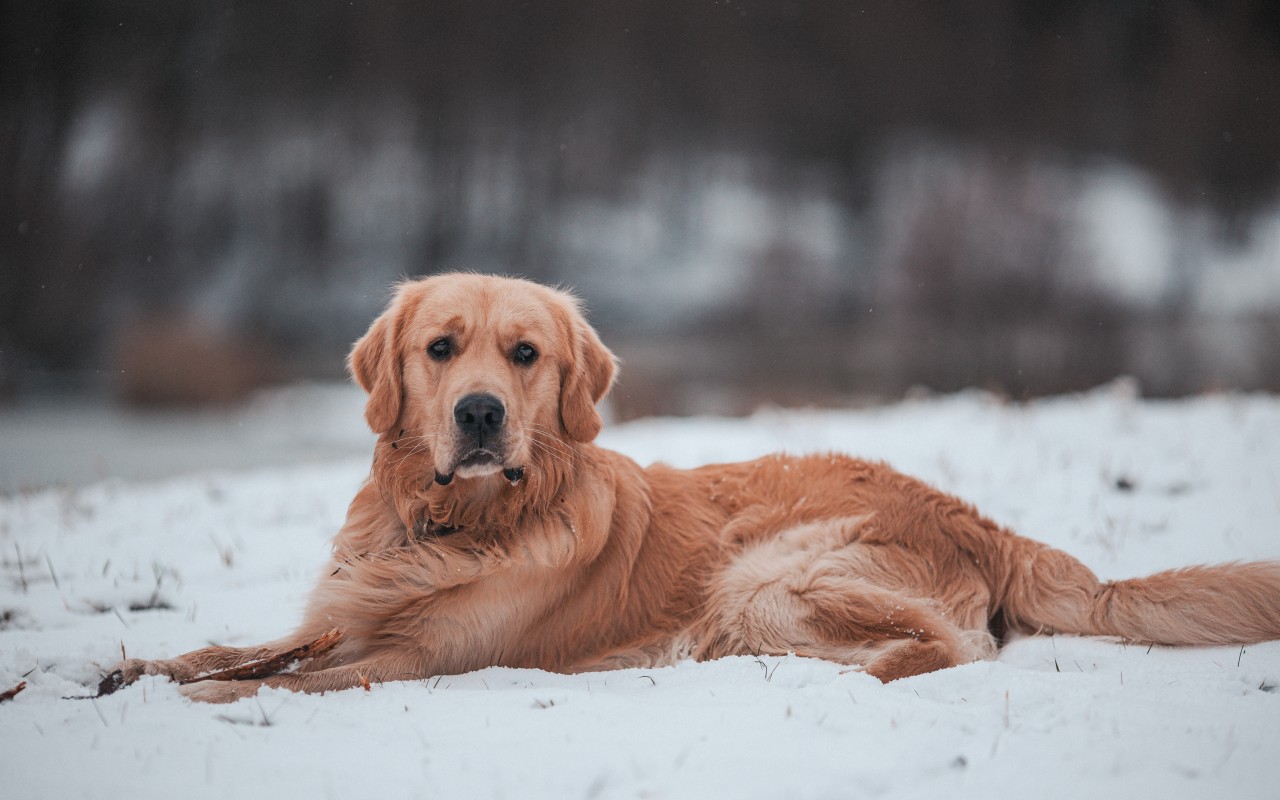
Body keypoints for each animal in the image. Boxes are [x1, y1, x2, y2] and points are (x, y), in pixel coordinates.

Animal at [99, 272, 1280, 696]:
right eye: (441, 349)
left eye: (523, 355)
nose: (479, 413)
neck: (455, 522)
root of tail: (979, 519)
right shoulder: (343, 615)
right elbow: (236, 645)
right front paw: (126, 669)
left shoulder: (423, 656)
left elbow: (278, 680)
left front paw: (196, 699)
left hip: (768, 575)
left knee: (954, 646)